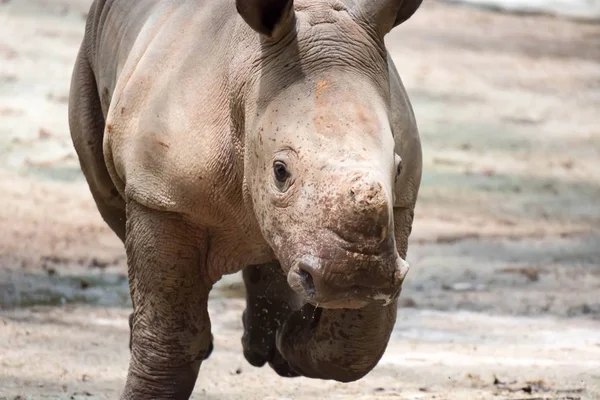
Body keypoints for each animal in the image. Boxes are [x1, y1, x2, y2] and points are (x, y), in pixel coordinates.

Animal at [69, 0, 422, 398]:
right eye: (280, 171)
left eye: (397, 168)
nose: (356, 280)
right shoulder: (161, 196)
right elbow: (171, 340)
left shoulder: (400, 201)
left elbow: (359, 343)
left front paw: (295, 336)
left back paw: (272, 347)